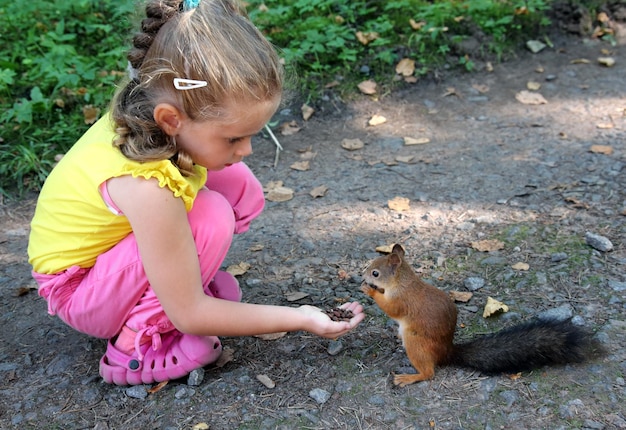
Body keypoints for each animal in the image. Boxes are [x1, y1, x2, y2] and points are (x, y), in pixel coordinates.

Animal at [358, 244, 604, 388]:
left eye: (375, 273)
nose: (362, 275)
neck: (402, 282)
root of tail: (447, 352)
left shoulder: (402, 300)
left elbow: (391, 309)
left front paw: (369, 290)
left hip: (416, 343)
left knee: (429, 373)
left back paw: (409, 377)